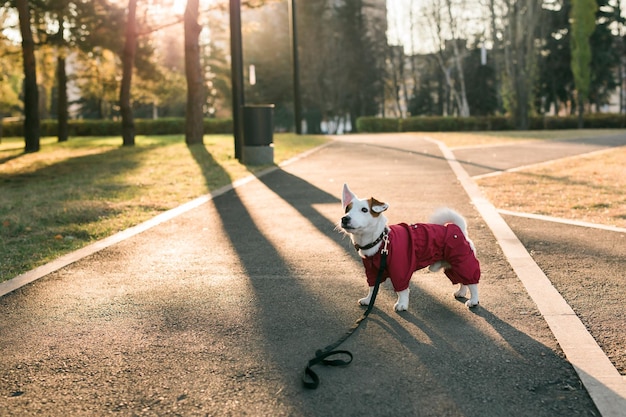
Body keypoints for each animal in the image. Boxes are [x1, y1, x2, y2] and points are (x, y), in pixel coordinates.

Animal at [336, 184, 478, 310]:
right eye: (347, 209)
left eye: (364, 210)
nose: (345, 218)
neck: (380, 240)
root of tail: (458, 229)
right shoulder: (372, 271)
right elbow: (372, 288)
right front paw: (368, 300)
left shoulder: (401, 270)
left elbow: (402, 290)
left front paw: (402, 304)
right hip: (453, 265)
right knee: (463, 281)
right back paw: (461, 292)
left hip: (463, 262)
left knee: (472, 283)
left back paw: (474, 300)